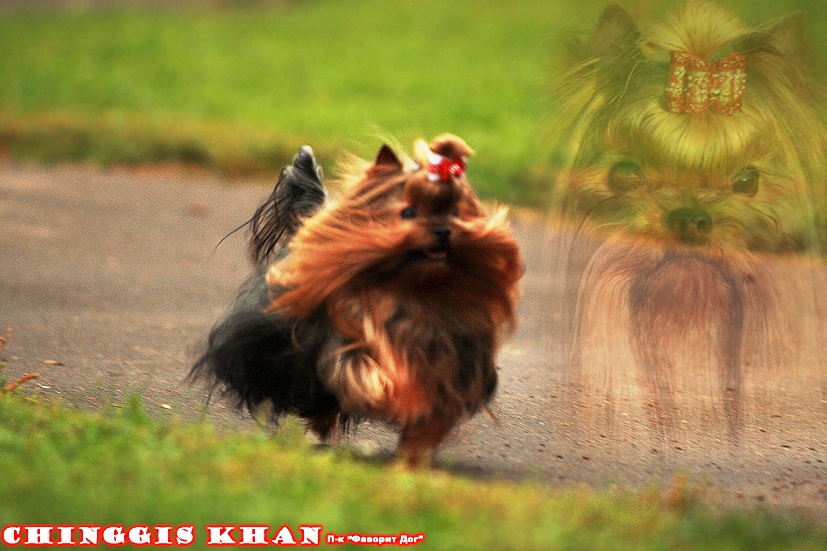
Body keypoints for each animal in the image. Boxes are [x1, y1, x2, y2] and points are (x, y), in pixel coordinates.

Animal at [191, 134, 520, 466]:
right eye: (408, 212)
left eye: (455, 213)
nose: (443, 231)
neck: (415, 290)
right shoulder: (345, 342)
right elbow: (363, 372)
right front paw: (392, 394)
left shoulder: (454, 366)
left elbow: (431, 415)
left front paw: (413, 455)